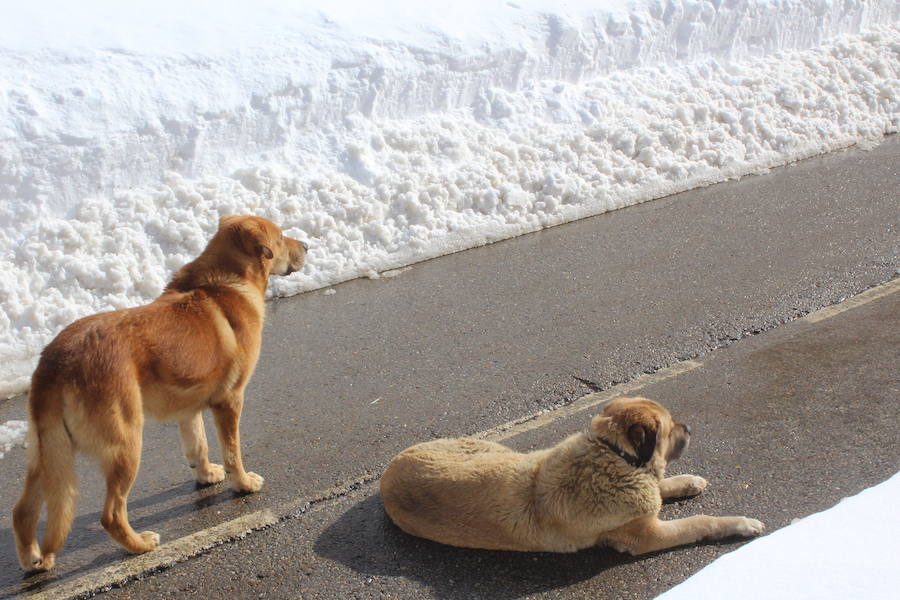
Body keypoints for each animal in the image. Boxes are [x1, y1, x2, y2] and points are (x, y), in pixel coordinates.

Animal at [12, 214, 308, 572]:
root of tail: (55, 362)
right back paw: (139, 545)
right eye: (280, 237)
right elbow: (233, 452)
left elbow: (198, 445)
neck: (227, 281)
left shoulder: (190, 406)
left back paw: (33, 559)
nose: (307, 245)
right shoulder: (230, 400)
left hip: (47, 454)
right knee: (111, 514)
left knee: (22, 511)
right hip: (125, 445)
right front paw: (243, 484)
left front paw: (206, 475)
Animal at [376, 396, 764, 556]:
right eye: (671, 429)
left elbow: (661, 485)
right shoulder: (645, 536)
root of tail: (387, 472)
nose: (691, 428)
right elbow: (700, 522)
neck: (612, 456)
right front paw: (740, 523)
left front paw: (686, 481)